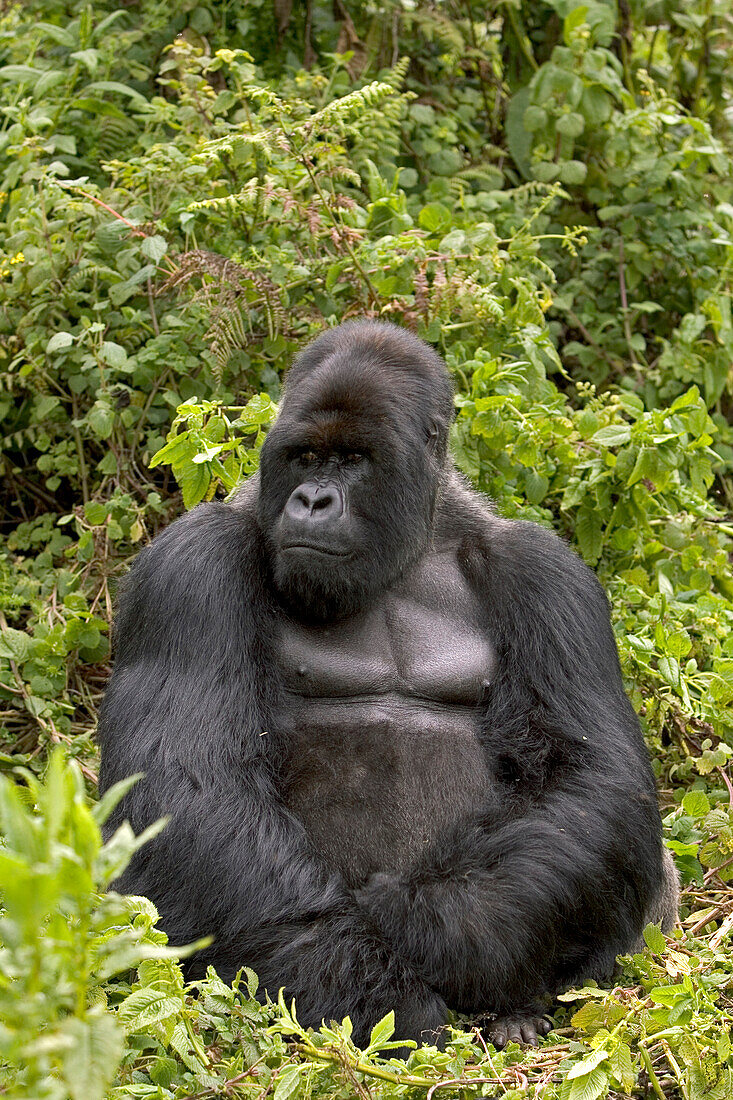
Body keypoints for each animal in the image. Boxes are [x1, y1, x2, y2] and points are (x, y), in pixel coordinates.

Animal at [100, 319, 677, 1047]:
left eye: (353, 460)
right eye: (305, 457)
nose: (312, 500)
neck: (408, 552)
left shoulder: (546, 573)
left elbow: (591, 776)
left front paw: (420, 923)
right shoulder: (188, 562)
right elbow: (182, 783)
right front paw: (388, 1001)